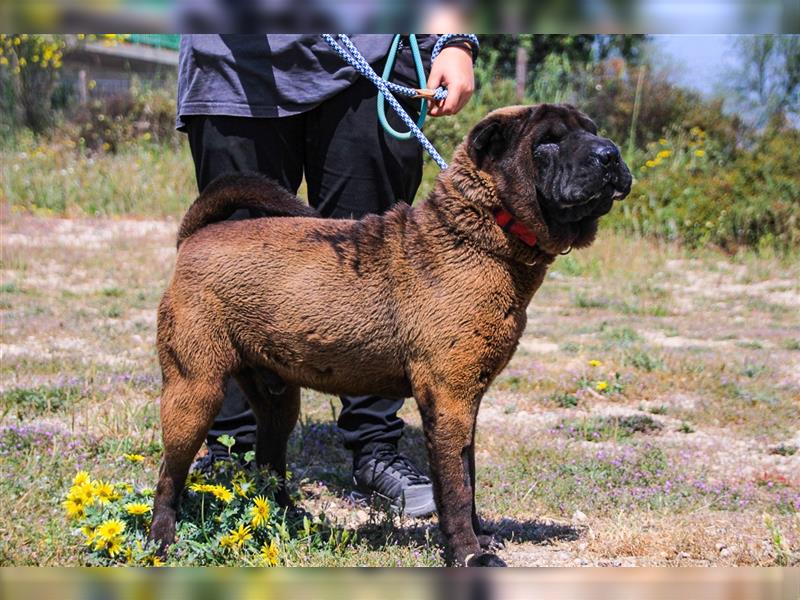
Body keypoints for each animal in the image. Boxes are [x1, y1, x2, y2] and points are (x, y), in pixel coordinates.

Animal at [152, 104, 632, 568]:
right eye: (547, 142)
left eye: (591, 130)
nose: (610, 154)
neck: (476, 234)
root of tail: (194, 236)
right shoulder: (450, 401)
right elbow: (456, 490)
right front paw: (468, 553)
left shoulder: (466, 404)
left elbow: (469, 477)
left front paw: (479, 538)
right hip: (194, 394)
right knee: (168, 476)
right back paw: (161, 541)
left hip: (277, 399)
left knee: (270, 462)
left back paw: (287, 518)